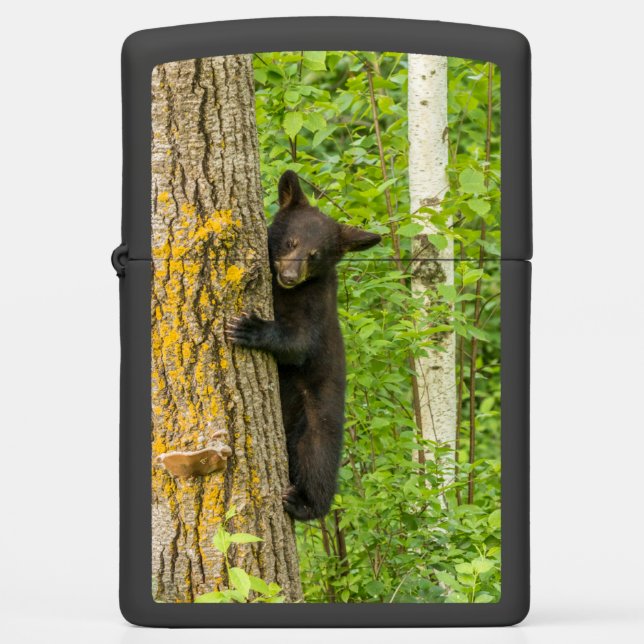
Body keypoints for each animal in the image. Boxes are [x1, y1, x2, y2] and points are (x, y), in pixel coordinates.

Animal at [226, 170, 381, 520]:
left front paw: (250, 328)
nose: (289, 275)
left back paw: (304, 502)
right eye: (290, 242)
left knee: (316, 459)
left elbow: (298, 343)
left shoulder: (316, 304)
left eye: (315, 255)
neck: (284, 292)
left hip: (317, 418)